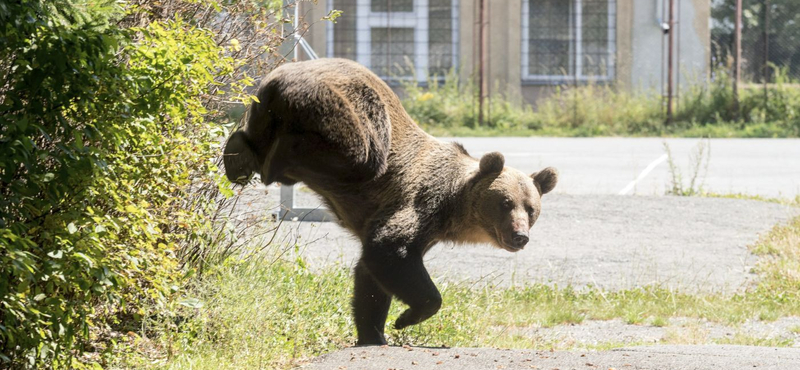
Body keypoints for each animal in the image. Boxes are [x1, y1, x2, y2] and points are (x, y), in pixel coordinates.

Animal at [223, 57, 556, 344]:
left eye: (531, 209)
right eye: (505, 203)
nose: (520, 235)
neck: (454, 208)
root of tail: (279, 76)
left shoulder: (428, 230)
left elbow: (369, 277)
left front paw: (373, 332)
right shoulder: (421, 200)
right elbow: (389, 248)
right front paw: (406, 318)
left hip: (264, 108)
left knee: (255, 136)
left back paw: (238, 155)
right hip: (346, 110)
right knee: (359, 152)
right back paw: (272, 160)